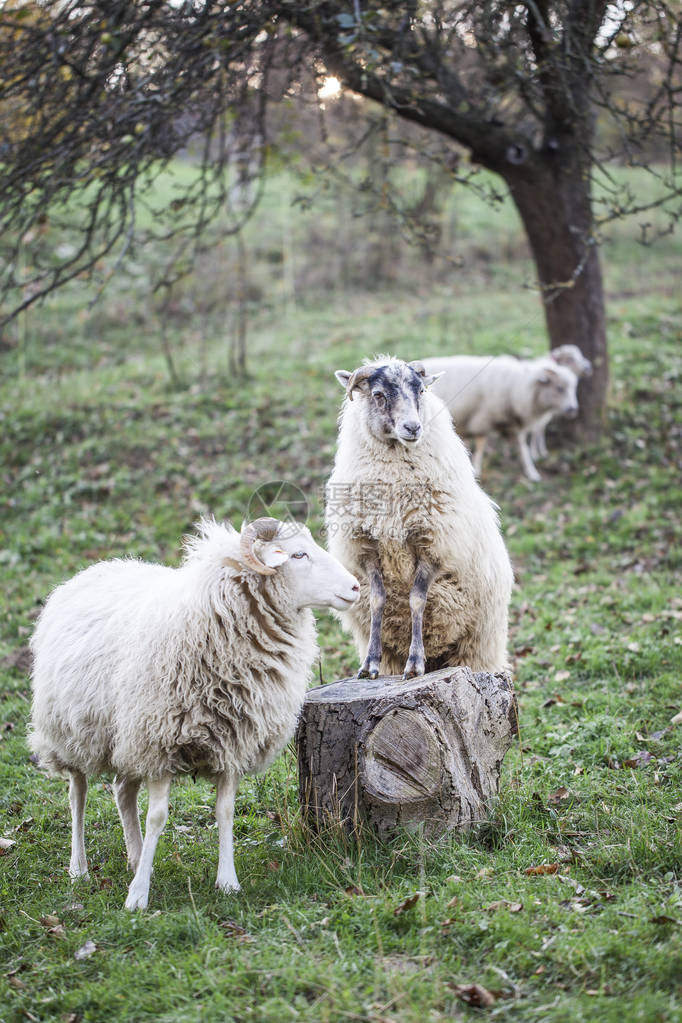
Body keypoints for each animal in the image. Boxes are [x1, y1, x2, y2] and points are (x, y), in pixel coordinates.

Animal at [29, 519, 359, 912]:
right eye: (298, 554)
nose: (356, 587)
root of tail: (91, 570)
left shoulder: (233, 741)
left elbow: (225, 812)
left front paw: (227, 881)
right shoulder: (160, 740)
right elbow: (157, 816)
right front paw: (138, 896)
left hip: (125, 734)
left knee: (122, 791)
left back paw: (136, 857)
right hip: (72, 729)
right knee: (77, 793)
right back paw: (79, 868)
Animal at [325, 356, 511, 683]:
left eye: (421, 391)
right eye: (378, 395)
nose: (413, 427)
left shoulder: (434, 545)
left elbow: (417, 600)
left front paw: (415, 663)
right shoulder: (365, 545)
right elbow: (377, 600)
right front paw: (368, 665)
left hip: (477, 645)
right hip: (394, 651)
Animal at [423, 356, 580, 482]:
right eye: (559, 388)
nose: (573, 409)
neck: (518, 386)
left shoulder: (512, 425)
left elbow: (523, 448)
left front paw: (532, 472)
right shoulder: (483, 419)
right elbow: (481, 446)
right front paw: (477, 469)